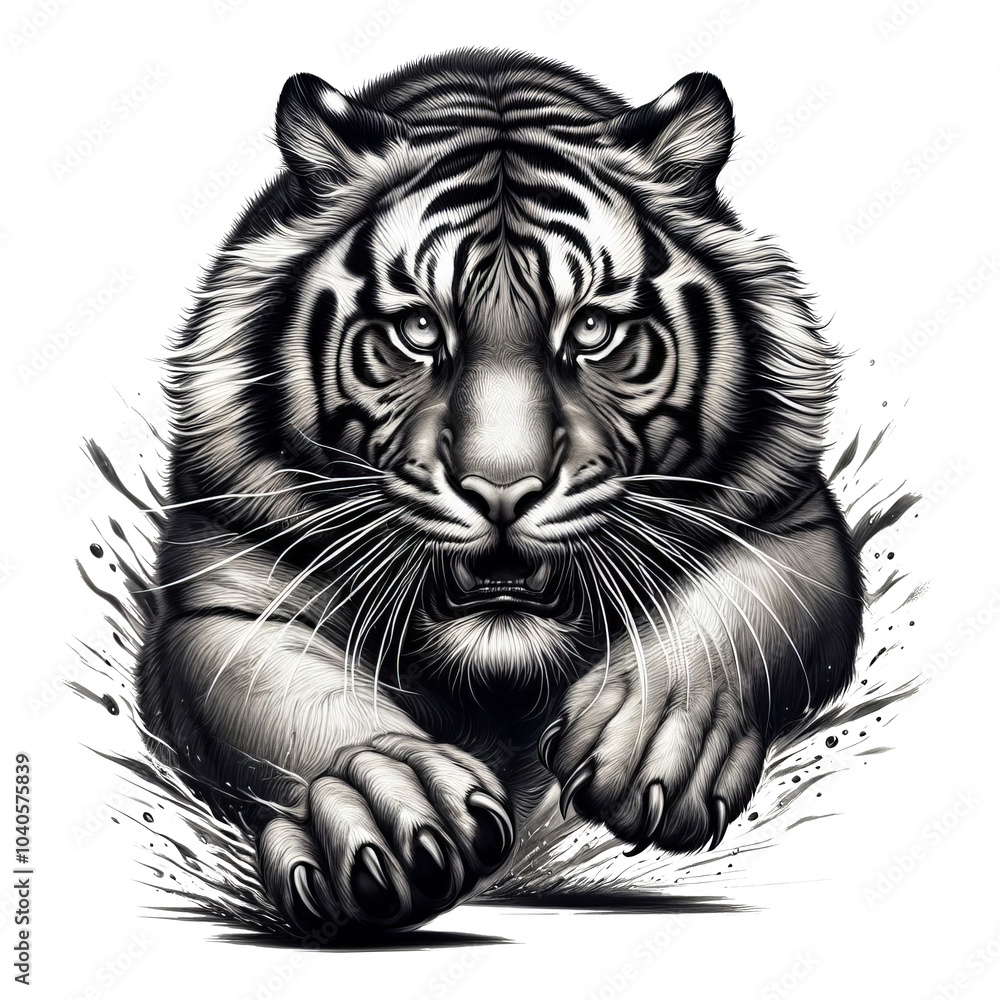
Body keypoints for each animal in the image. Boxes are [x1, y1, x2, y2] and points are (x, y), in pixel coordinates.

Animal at [137, 48, 863, 935]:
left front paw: (654, 744)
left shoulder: (796, 528)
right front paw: (392, 808)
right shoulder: (223, 595)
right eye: (419, 330)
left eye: (592, 330)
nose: (502, 491)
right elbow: (288, 697)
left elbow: (731, 618)